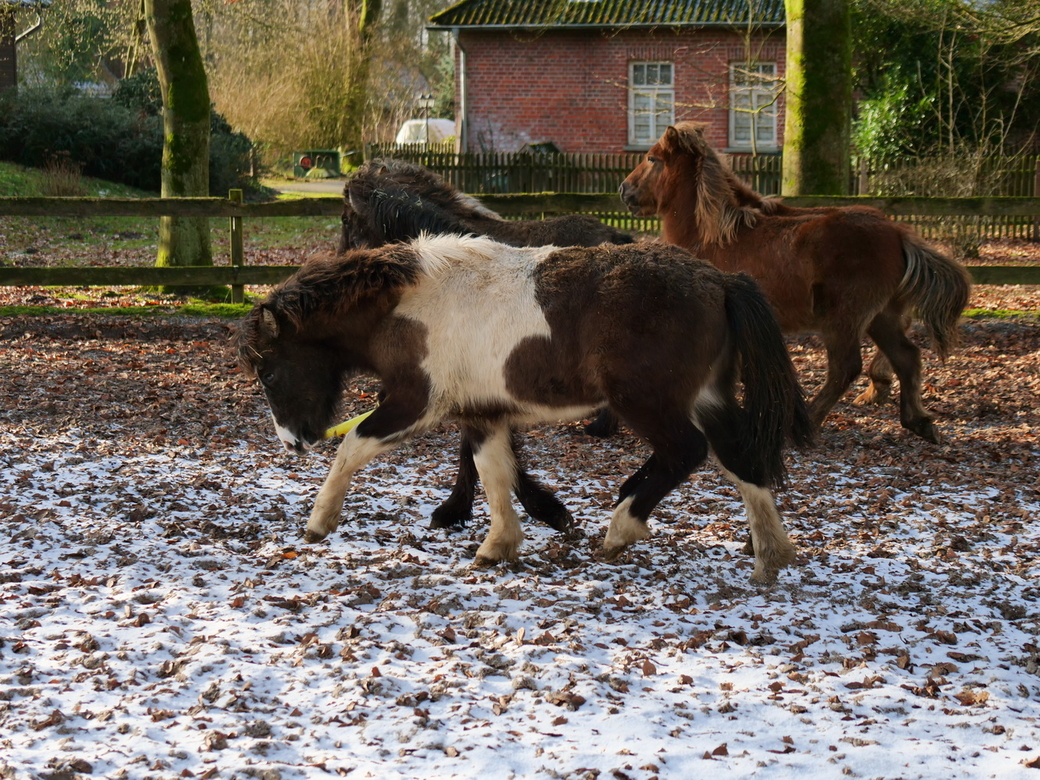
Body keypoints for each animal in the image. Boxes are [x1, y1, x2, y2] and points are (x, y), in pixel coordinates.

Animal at [236, 233, 811, 586]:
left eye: (269, 373)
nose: (293, 441)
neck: (405, 307)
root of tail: (721, 281)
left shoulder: (416, 403)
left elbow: (353, 449)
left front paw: (318, 523)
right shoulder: (482, 413)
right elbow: (494, 473)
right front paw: (498, 545)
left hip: (647, 402)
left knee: (687, 452)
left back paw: (622, 529)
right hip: (707, 398)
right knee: (741, 459)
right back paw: (770, 558)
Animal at [615, 120, 973, 443]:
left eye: (652, 159)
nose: (624, 189)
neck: (712, 234)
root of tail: (898, 233)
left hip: (843, 319)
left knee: (846, 368)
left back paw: (806, 424)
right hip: (881, 317)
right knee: (907, 357)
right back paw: (919, 423)